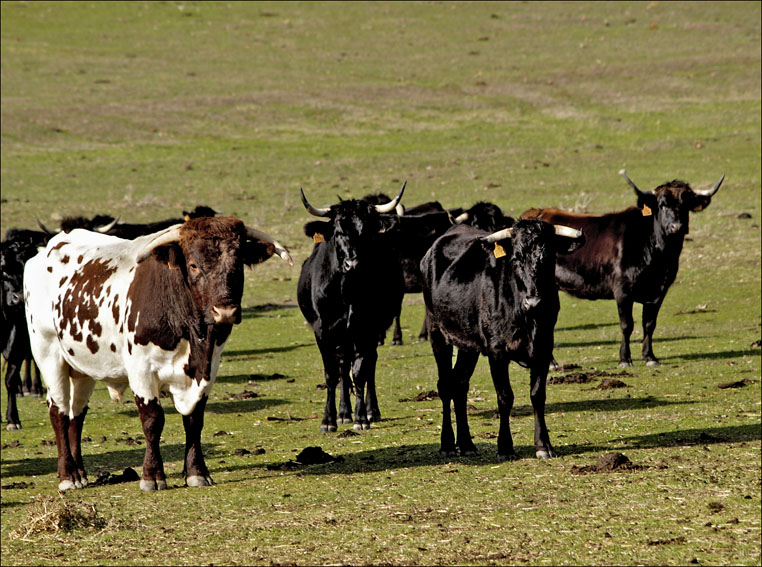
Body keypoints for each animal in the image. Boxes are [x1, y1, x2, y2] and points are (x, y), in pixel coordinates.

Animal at [24, 215, 290, 490]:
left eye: (238, 265)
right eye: (193, 265)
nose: (225, 312)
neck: (192, 334)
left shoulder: (209, 369)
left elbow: (194, 421)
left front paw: (197, 472)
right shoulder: (141, 369)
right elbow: (152, 420)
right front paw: (152, 476)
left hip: (81, 366)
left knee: (76, 414)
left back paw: (80, 473)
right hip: (48, 354)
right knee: (58, 412)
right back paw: (68, 476)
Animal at [296, 184, 406, 432]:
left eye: (366, 232)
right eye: (337, 232)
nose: (352, 264)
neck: (345, 291)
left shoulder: (366, 328)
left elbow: (361, 372)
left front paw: (361, 417)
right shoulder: (323, 330)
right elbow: (331, 374)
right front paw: (329, 420)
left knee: (367, 365)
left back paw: (371, 411)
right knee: (342, 368)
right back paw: (343, 413)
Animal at [422, 221, 580, 462]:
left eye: (548, 257)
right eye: (516, 258)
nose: (533, 301)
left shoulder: (543, 350)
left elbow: (538, 396)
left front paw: (543, 445)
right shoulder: (497, 352)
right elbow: (505, 397)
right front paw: (505, 447)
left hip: (468, 346)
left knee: (460, 384)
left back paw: (467, 444)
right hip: (437, 333)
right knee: (446, 385)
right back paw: (447, 443)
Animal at [520, 170, 720, 368]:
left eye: (686, 204)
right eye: (662, 205)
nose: (677, 227)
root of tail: (535, 213)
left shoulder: (659, 292)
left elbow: (649, 324)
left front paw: (650, 357)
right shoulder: (623, 291)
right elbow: (627, 325)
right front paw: (625, 359)